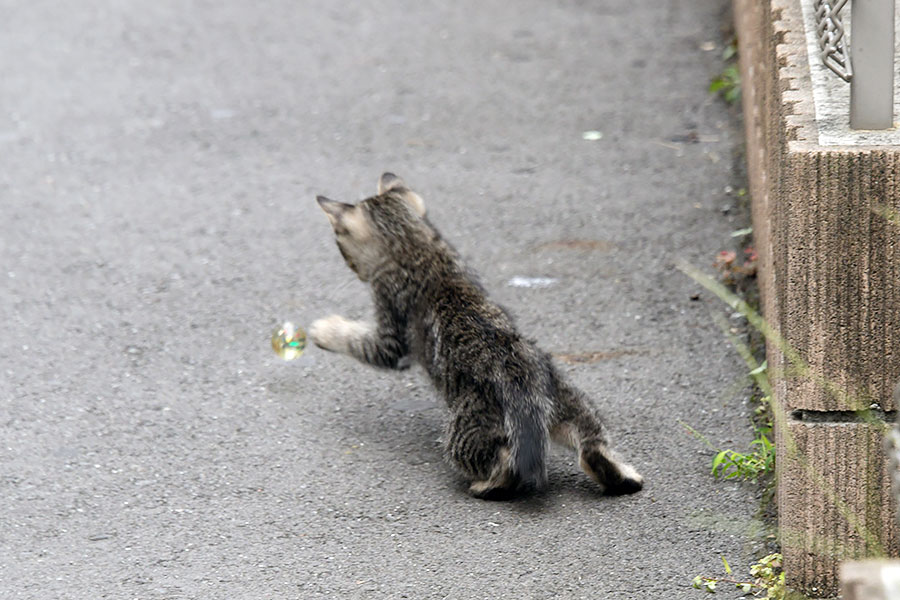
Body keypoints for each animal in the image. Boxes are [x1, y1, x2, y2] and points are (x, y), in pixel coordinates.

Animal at [312, 175, 644, 502]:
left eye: (340, 243)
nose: (353, 269)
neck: (417, 248)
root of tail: (522, 384)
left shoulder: (390, 336)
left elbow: (357, 340)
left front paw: (323, 330)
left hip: (465, 432)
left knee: (506, 465)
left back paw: (487, 485)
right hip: (574, 404)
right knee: (592, 445)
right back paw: (622, 477)